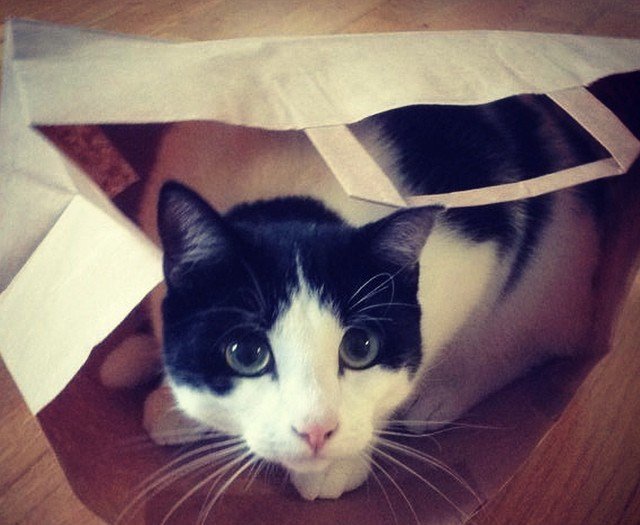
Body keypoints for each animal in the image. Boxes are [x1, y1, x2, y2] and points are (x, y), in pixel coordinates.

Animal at [105, 93, 607, 502]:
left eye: (359, 348)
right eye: (246, 353)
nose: (315, 432)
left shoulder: (471, 260)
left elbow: (408, 368)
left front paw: (342, 460)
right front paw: (179, 405)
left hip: (546, 274)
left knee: (534, 339)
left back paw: (445, 394)